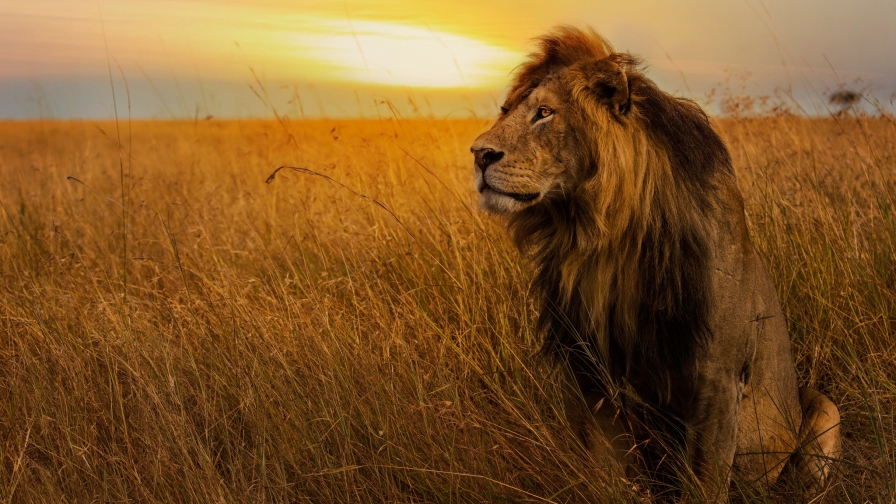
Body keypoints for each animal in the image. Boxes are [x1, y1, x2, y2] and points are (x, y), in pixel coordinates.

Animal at [470, 26, 841, 501]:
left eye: (544, 113)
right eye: (506, 111)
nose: (479, 154)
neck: (602, 240)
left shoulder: (719, 378)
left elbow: (705, 481)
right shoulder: (586, 371)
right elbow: (604, 473)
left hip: (821, 409)